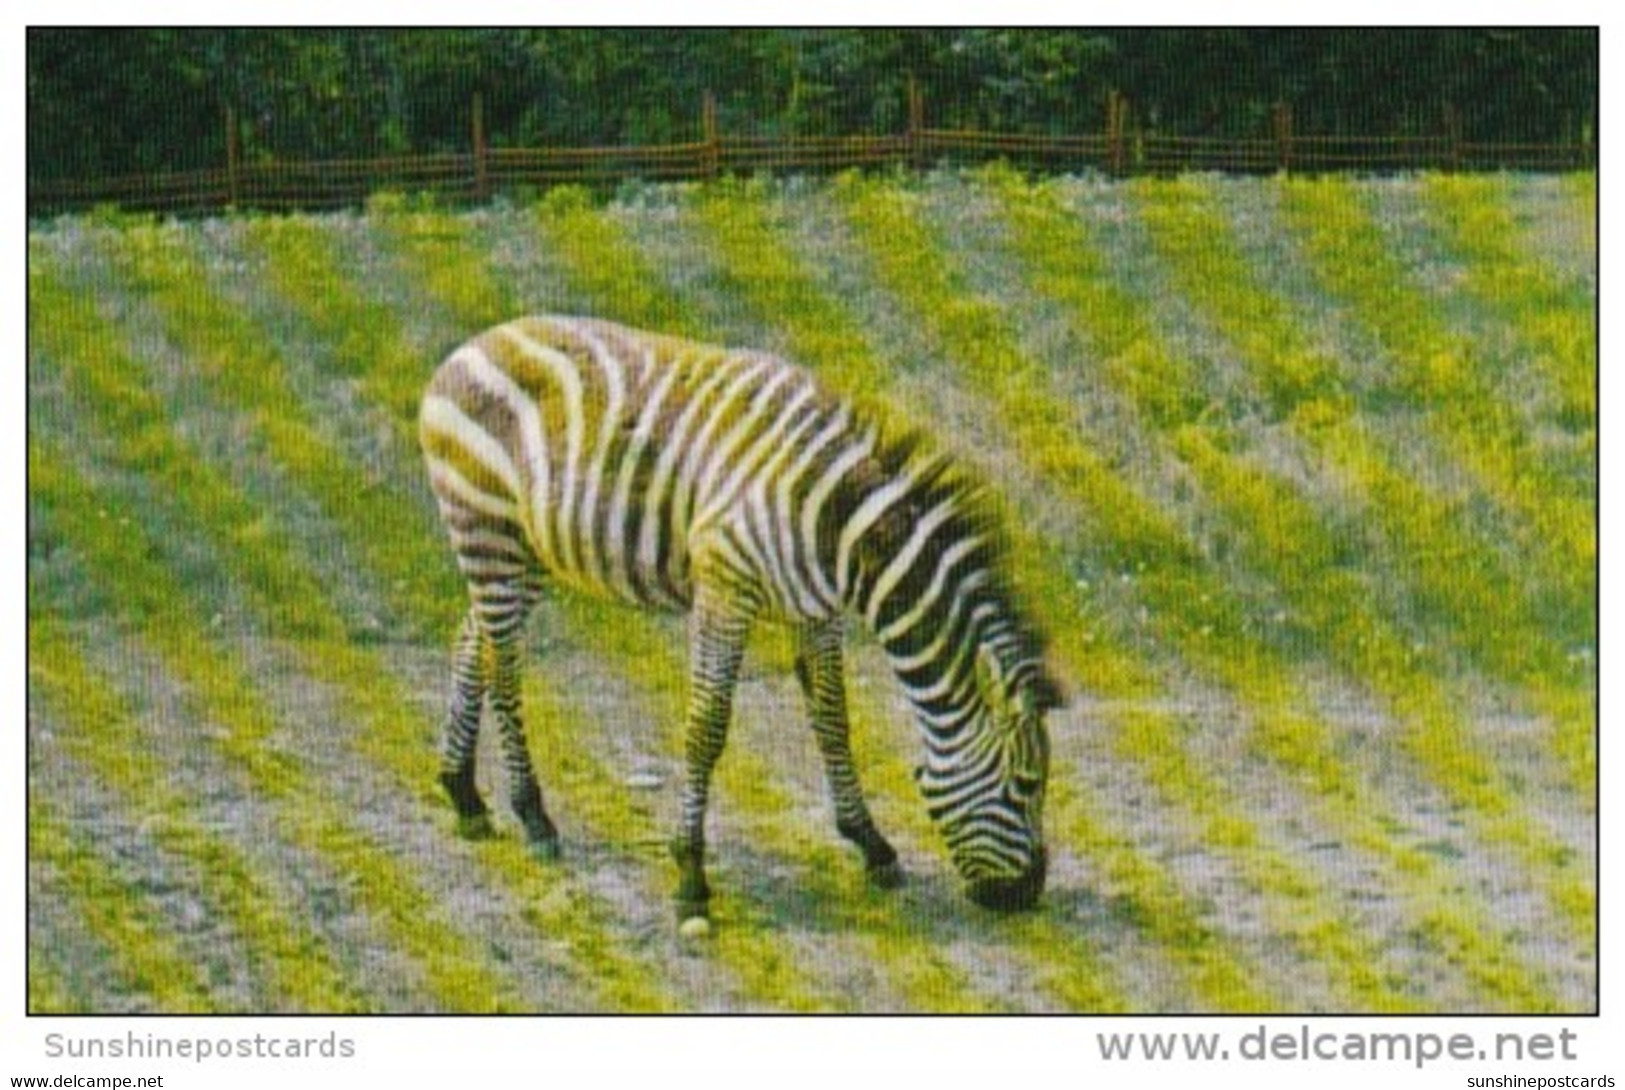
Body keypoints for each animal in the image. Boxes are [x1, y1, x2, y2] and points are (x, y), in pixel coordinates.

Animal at [412, 313, 1059, 929]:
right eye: (1027, 784)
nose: (1029, 894)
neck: (840, 527)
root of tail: (469, 348)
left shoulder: (816, 612)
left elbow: (832, 719)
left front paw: (871, 843)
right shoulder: (725, 588)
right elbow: (708, 726)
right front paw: (691, 874)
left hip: (525, 548)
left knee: (472, 642)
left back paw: (465, 794)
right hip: (486, 526)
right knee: (503, 669)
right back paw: (531, 813)